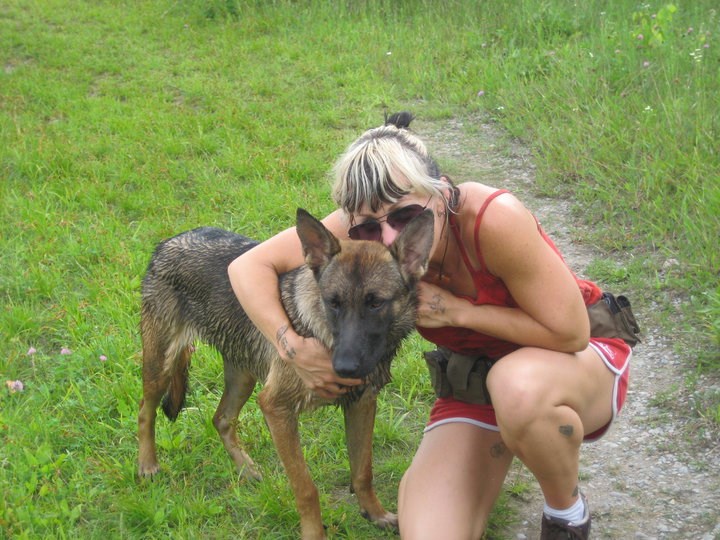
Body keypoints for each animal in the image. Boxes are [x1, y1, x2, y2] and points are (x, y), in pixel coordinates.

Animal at [139, 209, 436, 536]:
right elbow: (306, 488)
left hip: (242, 377)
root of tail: (167, 243)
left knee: (221, 419)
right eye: (333, 303)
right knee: (145, 411)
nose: (345, 368)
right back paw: (147, 465)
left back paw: (246, 468)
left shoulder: (362, 404)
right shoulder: (276, 408)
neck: (321, 334)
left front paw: (375, 514)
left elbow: (363, 471)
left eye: (375, 303)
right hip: (161, 366)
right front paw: (314, 534)